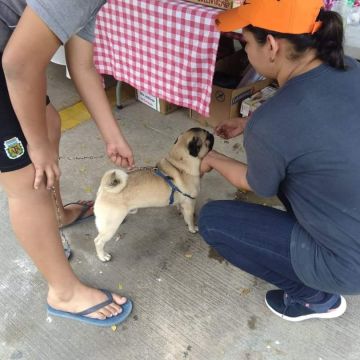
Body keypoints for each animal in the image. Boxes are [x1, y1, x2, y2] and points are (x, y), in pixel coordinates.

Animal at [93, 127, 215, 262]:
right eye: (208, 138)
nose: (212, 134)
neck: (179, 165)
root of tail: (104, 189)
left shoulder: (184, 202)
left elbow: (181, 209)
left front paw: (180, 211)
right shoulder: (190, 204)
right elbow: (190, 219)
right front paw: (193, 229)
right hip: (111, 226)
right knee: (98, 241)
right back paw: (103, 256)